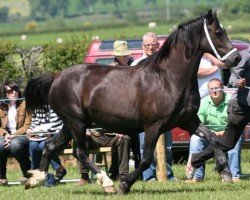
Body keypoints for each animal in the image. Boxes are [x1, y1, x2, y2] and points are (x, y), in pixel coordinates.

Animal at [23, 9, 240, 194]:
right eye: (218, 32)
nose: (237, 58)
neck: (168, 79)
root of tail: (56, 77)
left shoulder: (188, 120)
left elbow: (214, 139)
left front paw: (225, 172)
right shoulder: (154, 126)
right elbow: (145, 159)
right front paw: (124, 184)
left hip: (71, 124)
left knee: (50, 145)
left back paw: (35, 179)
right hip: (77, 123)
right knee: (80, 153)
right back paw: (107, 182)